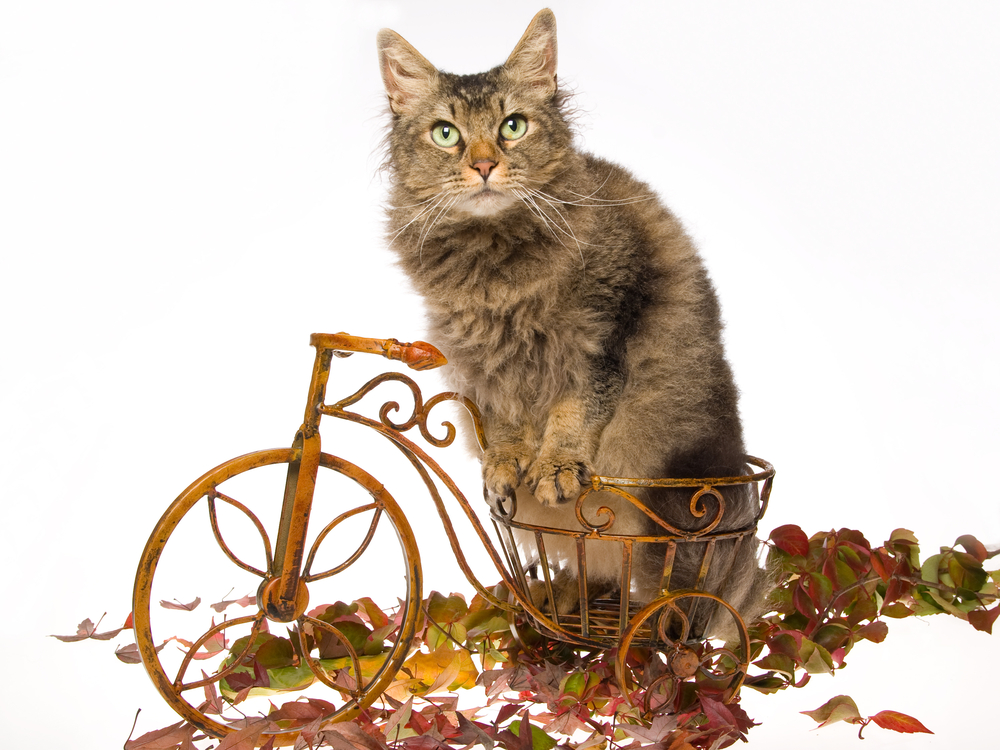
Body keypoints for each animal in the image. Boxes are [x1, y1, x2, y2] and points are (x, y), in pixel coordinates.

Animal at [376, 8, 772, 644]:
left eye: (513, 126)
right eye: (446, 134)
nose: (483, 165)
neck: (495, 268)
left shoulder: (605, 332)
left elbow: (575, 410)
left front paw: (557, 467)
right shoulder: (481, 361)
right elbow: (506, 418)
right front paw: (506, 464)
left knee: (676, 607)